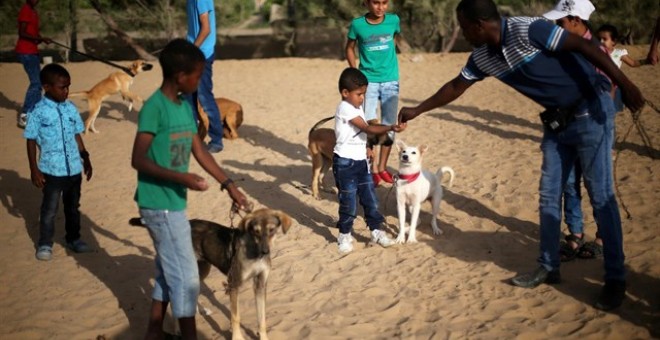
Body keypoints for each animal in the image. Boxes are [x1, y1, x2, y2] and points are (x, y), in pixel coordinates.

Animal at [129, 209, 292, 340]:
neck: (253, 250)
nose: (265, 252)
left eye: (272, 230)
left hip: (200, 270)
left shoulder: (260, 285)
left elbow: (262, 318)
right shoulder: (234, 284)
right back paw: (177, 330)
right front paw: (237, 337)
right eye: (256, 231)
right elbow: (236, 317)